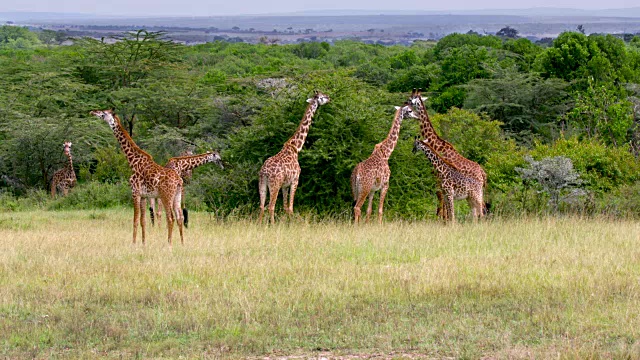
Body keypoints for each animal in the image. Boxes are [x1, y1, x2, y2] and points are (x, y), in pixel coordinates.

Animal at [89, 108, 182, 246]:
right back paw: (182, 243)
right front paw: (143, 243)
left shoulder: (135, 192)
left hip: (166, 196)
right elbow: (143, 220)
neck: (133, 162)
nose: (92, 112)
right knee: (179, 217)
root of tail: (179, 180)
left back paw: (169, 244)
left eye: (103, 113)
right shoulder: (143, 196)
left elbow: (135, 220)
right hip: (177, 196)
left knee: (170, 218)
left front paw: (133, 244)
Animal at [258, 90, 330, 224]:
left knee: (261, 206)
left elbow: (285, 207)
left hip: (262, 183)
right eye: (322, 97)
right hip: (274, 184)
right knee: (271, 206)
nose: (329, 98)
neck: (296, 147)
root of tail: (264, 171)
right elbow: (291, 208)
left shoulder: (285, 185)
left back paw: (259, 225)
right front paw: (293, 224)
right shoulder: (295, 180)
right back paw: (272, 225)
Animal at [410, 89, 484, 219]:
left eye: (412, 100)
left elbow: (443, 204)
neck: (438, 146)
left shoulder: (441, 181)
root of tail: (482, 173)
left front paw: (442, 220)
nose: (407, 108)